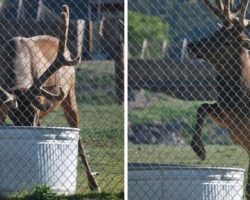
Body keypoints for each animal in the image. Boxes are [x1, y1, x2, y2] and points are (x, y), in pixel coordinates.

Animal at [187, 0, 250, 197]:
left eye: (227, 40)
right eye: (215, 32)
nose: (191, 46)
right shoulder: (228, 118)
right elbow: (202, 106)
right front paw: (199, 150)